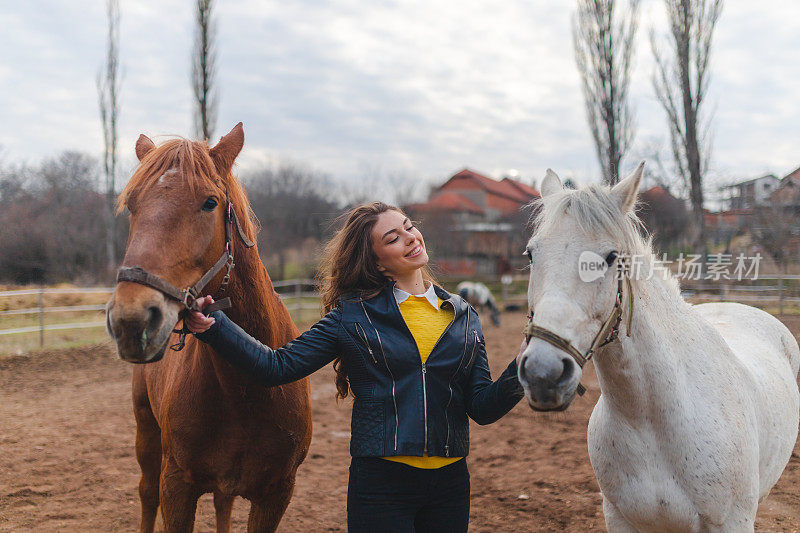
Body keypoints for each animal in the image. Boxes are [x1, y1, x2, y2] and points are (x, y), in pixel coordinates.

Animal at [103, 122, 310, 528]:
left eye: (210, 203)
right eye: (132, 206)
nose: (131, 321)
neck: (247, 387)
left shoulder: (277, 495)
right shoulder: (176, 487)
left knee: (222, 504)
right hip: (146, 432)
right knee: (146, 495)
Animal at [516, 164, 796, 528]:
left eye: (611, 257)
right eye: (531, 254)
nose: (543, 373)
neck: (649, 420)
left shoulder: (731, 521)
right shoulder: (619, 518)